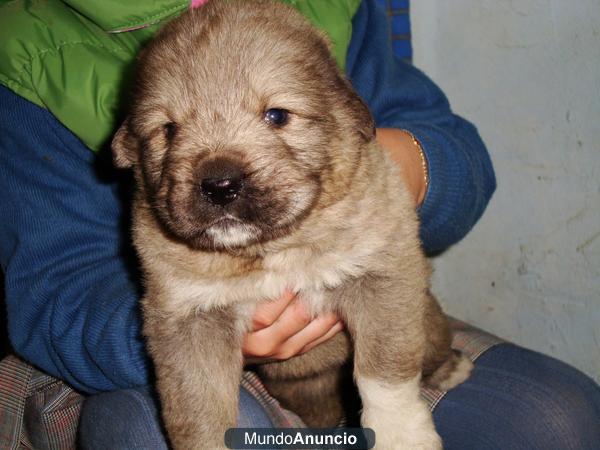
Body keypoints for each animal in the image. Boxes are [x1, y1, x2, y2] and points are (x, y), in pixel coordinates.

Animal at [110, 1, 472, 448]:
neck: (269, 251)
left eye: (277, 115)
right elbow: (199, 416)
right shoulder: (188, 323)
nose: (219, 185)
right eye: (168, 129)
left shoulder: (381, 275)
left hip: (428, 318)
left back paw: (452, 368)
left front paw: (403, 437)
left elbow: (385, 375)